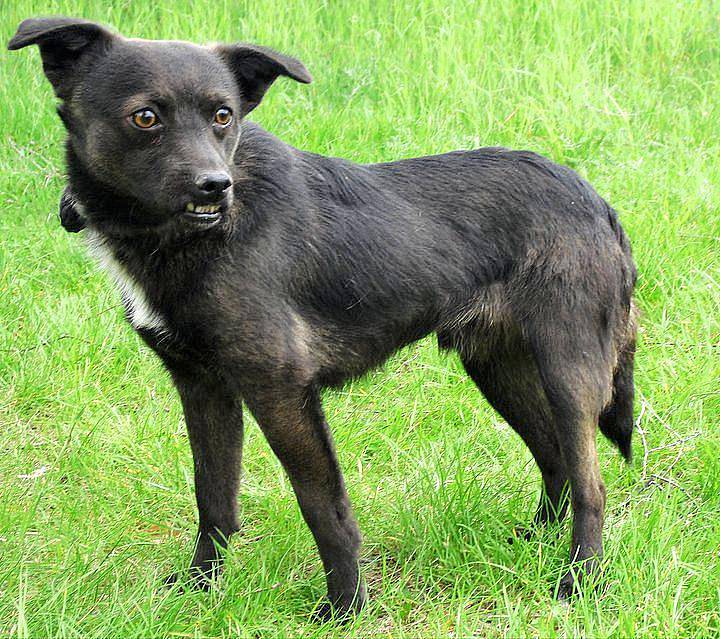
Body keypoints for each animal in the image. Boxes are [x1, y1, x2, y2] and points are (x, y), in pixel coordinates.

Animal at [7, 17, 636, 620]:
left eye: (222, 116)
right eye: (145, 117)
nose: (215, 186)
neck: (192, 236)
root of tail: (597, 202)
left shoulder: (283, 391)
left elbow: (324, 509)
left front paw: (346, 607)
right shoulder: (203, 386)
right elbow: (214, 498)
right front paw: (197, 589)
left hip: (568, 371)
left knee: (592, 483)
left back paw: (578, 581)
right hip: (496, 366)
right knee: (555, 459)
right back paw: (532, 542)